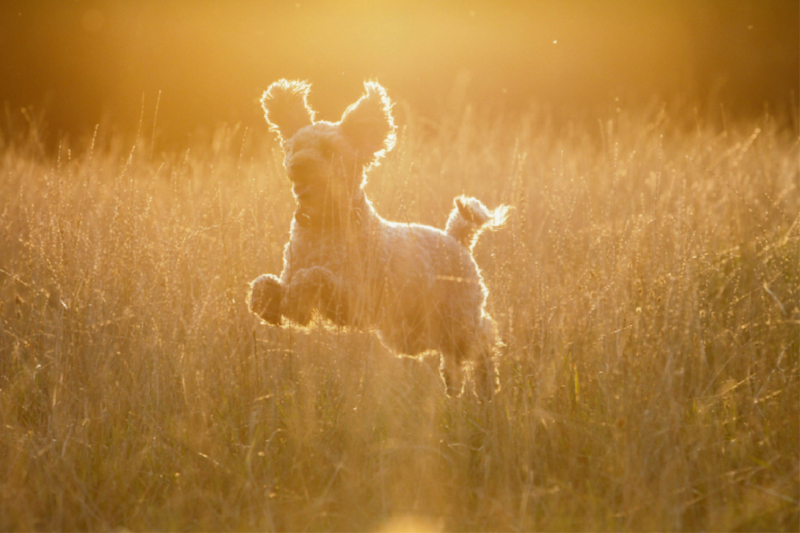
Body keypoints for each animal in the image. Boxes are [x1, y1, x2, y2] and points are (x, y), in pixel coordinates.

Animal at [250, 77, 510, 396]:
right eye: (294, 147)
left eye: (328, 149)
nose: (298, 165)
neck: (323, 226)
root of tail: (457, 238)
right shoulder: (291, 273)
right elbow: (265, 282)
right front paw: (269, 305)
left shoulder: (354, 300)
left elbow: (314, 276)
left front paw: (297, 303)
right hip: (414, 331)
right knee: (451, 353)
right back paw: (453, 383)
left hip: (459, 317)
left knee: (484, 341)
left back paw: (485, 385)